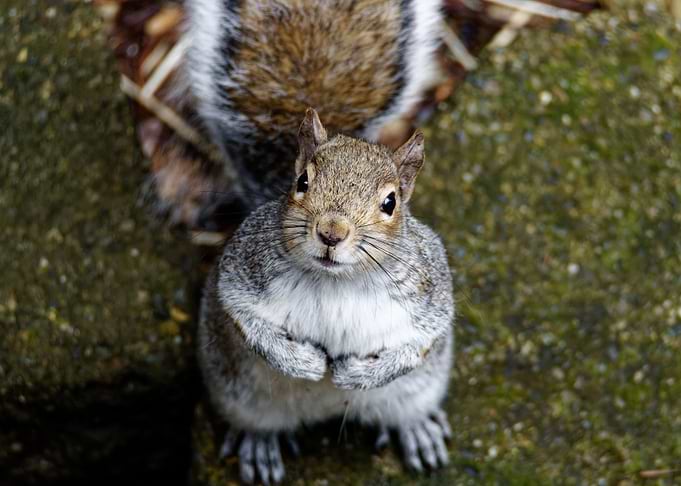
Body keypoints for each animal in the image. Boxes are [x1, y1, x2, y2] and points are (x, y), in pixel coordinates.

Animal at [198, 109, 455, 484]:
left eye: (390, 203)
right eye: (302, 182)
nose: (331, 232)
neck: (338, 281)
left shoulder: (429, 295)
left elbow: (417, 345)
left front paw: (357, 375)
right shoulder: (241, 273)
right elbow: (249, 324)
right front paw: (304, 363)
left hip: (419, 390)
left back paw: (417, 429)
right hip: (238, 394)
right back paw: (260, 444)